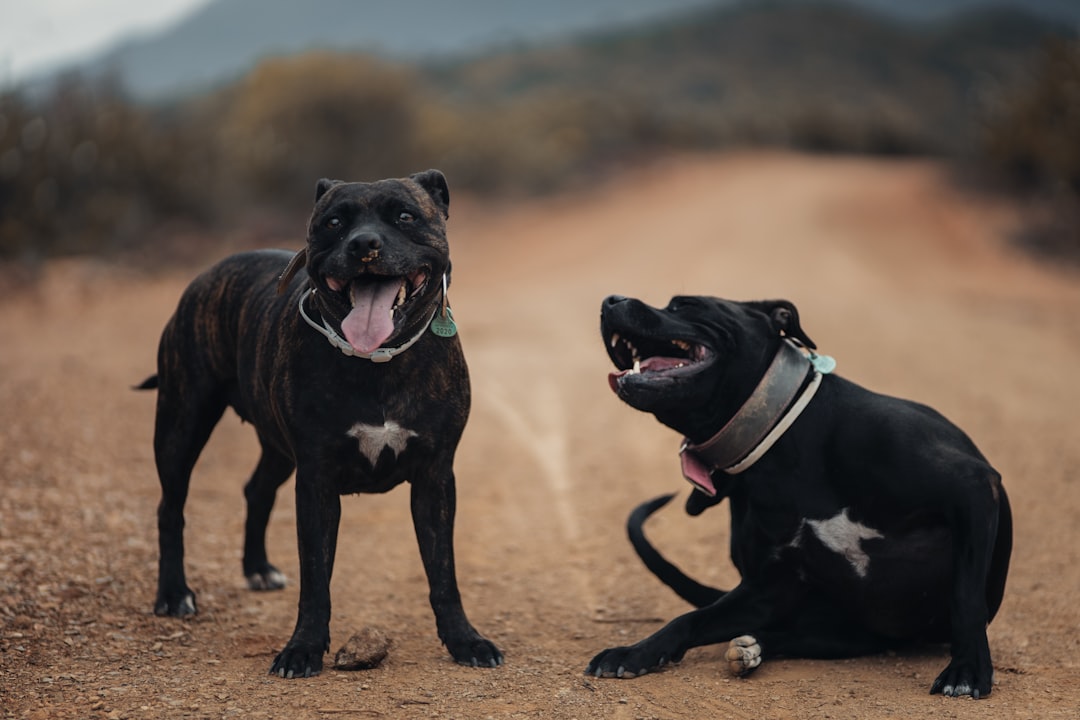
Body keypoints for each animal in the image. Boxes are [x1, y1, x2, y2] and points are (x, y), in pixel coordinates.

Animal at [138, 171, 501, 677]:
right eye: (333, 222)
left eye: (404, 216)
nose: (364, 243)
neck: (379, 361)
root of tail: (211, 272)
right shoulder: (316, 482)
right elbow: (315, 578)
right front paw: (303, 648)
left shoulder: (434, 479)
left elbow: (444, 573)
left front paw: (465, 640)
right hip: (182, 422)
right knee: (170, 508)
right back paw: (174, 594)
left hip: (274, 447)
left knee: (256, 489)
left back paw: (258, 568)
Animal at [587, 293, 1006, 699]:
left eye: (684, 304)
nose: (610, 300)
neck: (781, 439)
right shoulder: (769, 588)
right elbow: (691, 618)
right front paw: (636, 652)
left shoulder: (972, 487)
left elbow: (966, 596)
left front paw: (967, 669)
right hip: (836, 633)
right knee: (779, 635)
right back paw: (750, 649)